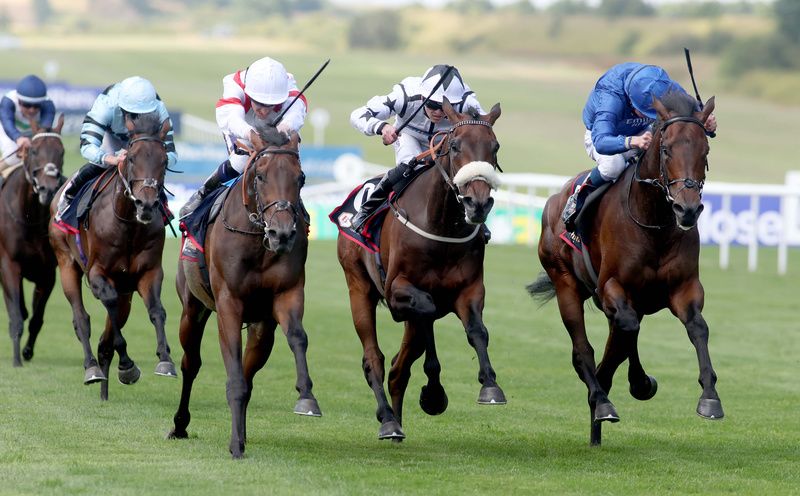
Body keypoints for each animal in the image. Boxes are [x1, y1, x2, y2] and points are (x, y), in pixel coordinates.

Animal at [0, 115, 65, 364]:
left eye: (61, 151)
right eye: (34, 150)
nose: (48, 189)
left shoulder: (47, 272)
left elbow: (36, 319)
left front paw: (27, 351)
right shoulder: (8, 264)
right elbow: (17, 316)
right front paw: (17, 360)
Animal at [49, 112, 177, 400]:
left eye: (164, 160)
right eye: (131, 158)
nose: (147, 204)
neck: (127, 224)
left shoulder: (148, 272)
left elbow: (157, 311)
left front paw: (165, 360)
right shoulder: (98, 274)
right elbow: (108, 307)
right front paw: (127, 365)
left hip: (126, 289)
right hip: (66, 263)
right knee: (81, 319)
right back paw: (92, 368)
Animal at [167, 127, 320, 458]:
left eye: (300, 178)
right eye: (260, 176)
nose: (282, 233)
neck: (256, 240)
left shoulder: (286, 294)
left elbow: (297, 337)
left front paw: (306, 397)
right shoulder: (228, 304)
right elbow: (233, 375)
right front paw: (236, 445)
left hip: (262, 328)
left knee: (250, 371)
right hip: (192, 309)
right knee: (190, 364)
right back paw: (180, 424)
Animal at [340, 99, 506, 440]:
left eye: (494, 146)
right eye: (455, 146)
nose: (478, 204)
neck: (440, 224)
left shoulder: (470, 289)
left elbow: (477, 331)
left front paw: (490, 386)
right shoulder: (396, 291)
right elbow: (428, 310)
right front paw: (433, 393)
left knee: (398, 369)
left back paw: (396, 418)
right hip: (358, 287)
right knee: (374, 359)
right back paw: (389, 421)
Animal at [528, 92, 720, 446]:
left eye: (705, 150)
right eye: (666, 149)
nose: (687, 210)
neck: (654, 222)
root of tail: (552, 200)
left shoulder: (684, 288)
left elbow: (697, 328)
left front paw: (709, 397)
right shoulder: (612, 286)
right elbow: (624, 331)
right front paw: (610, 390)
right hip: (565, 283)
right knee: (584, 349)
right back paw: (601, 401)